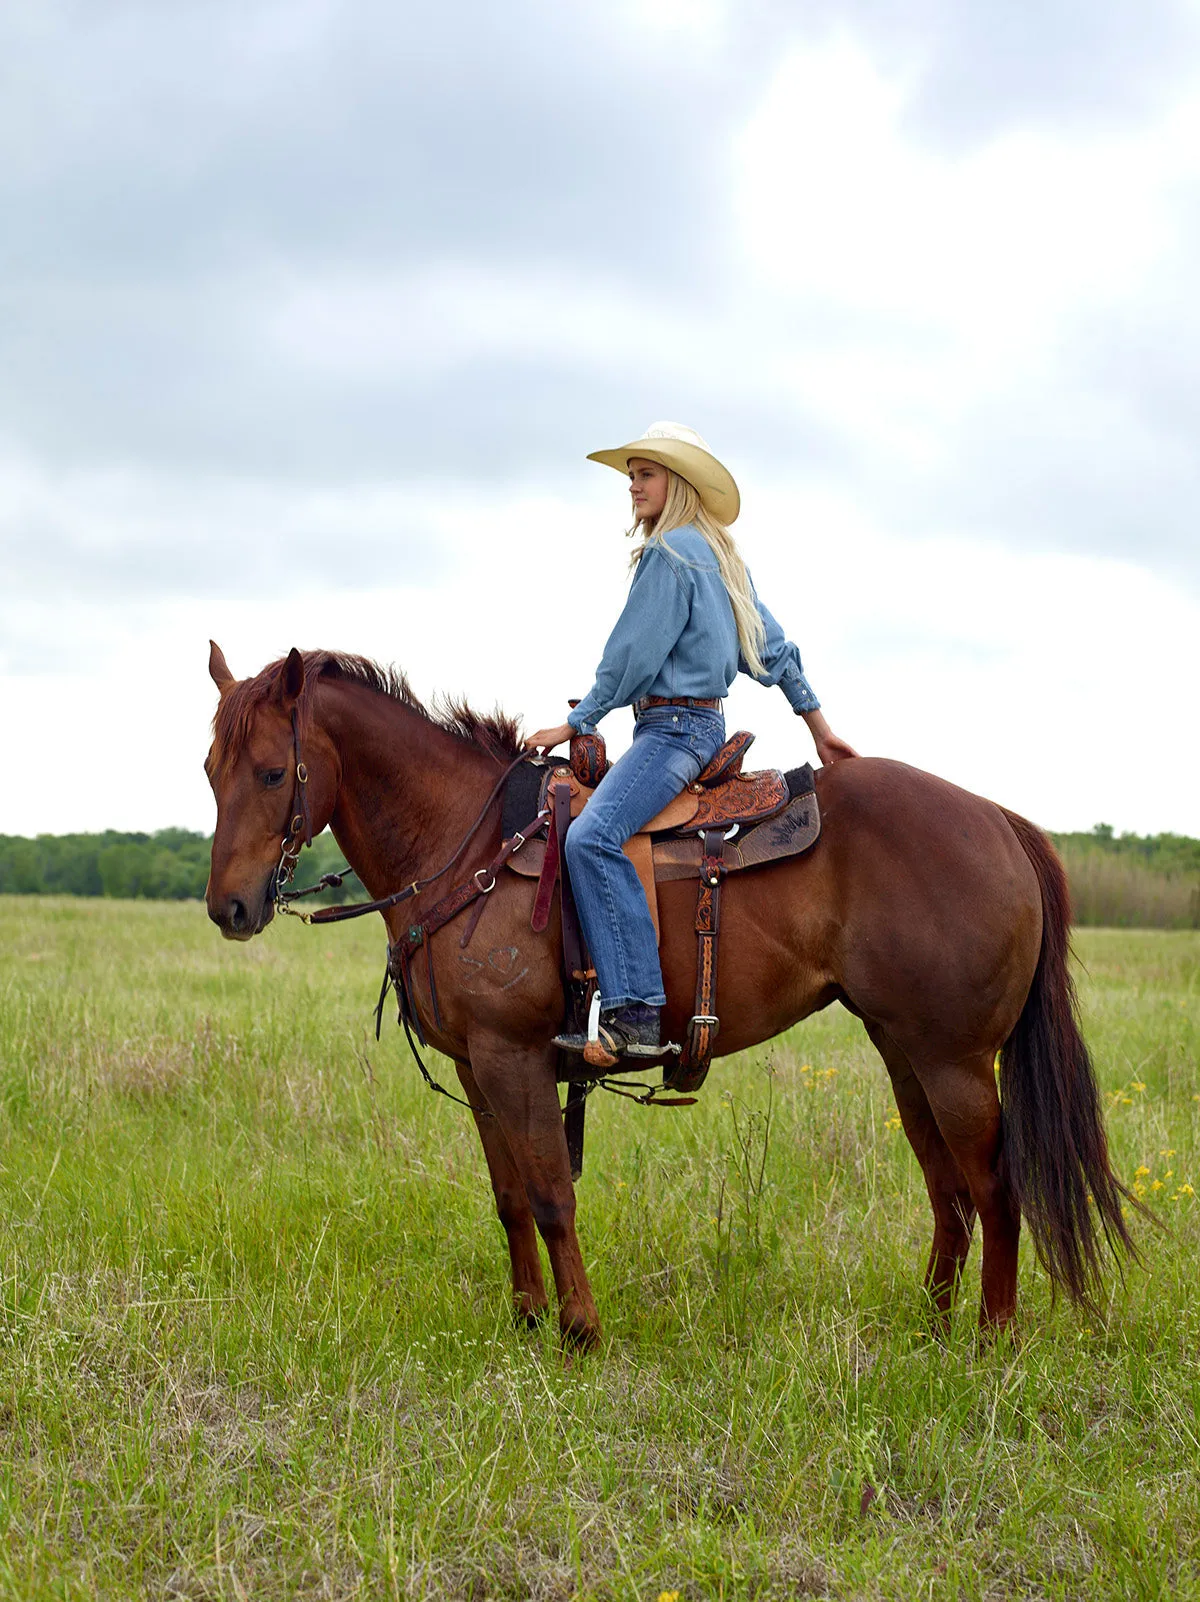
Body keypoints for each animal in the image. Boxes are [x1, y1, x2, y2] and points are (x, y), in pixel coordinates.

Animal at [203, 644, 1134, 1345]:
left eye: (274, 772)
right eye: (211, 768)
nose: (229, 909)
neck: (467, 840)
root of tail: (998, 819)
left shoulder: (514, 1059)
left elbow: (551, 1194)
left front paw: (579, 1331)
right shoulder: (477, 1069)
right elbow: (509, 1198)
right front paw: (528, 1319)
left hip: (956, 1062)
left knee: (995, 1189)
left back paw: (991, 1341)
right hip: (906, 1054)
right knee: (949, 1192)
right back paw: (932, 1329)